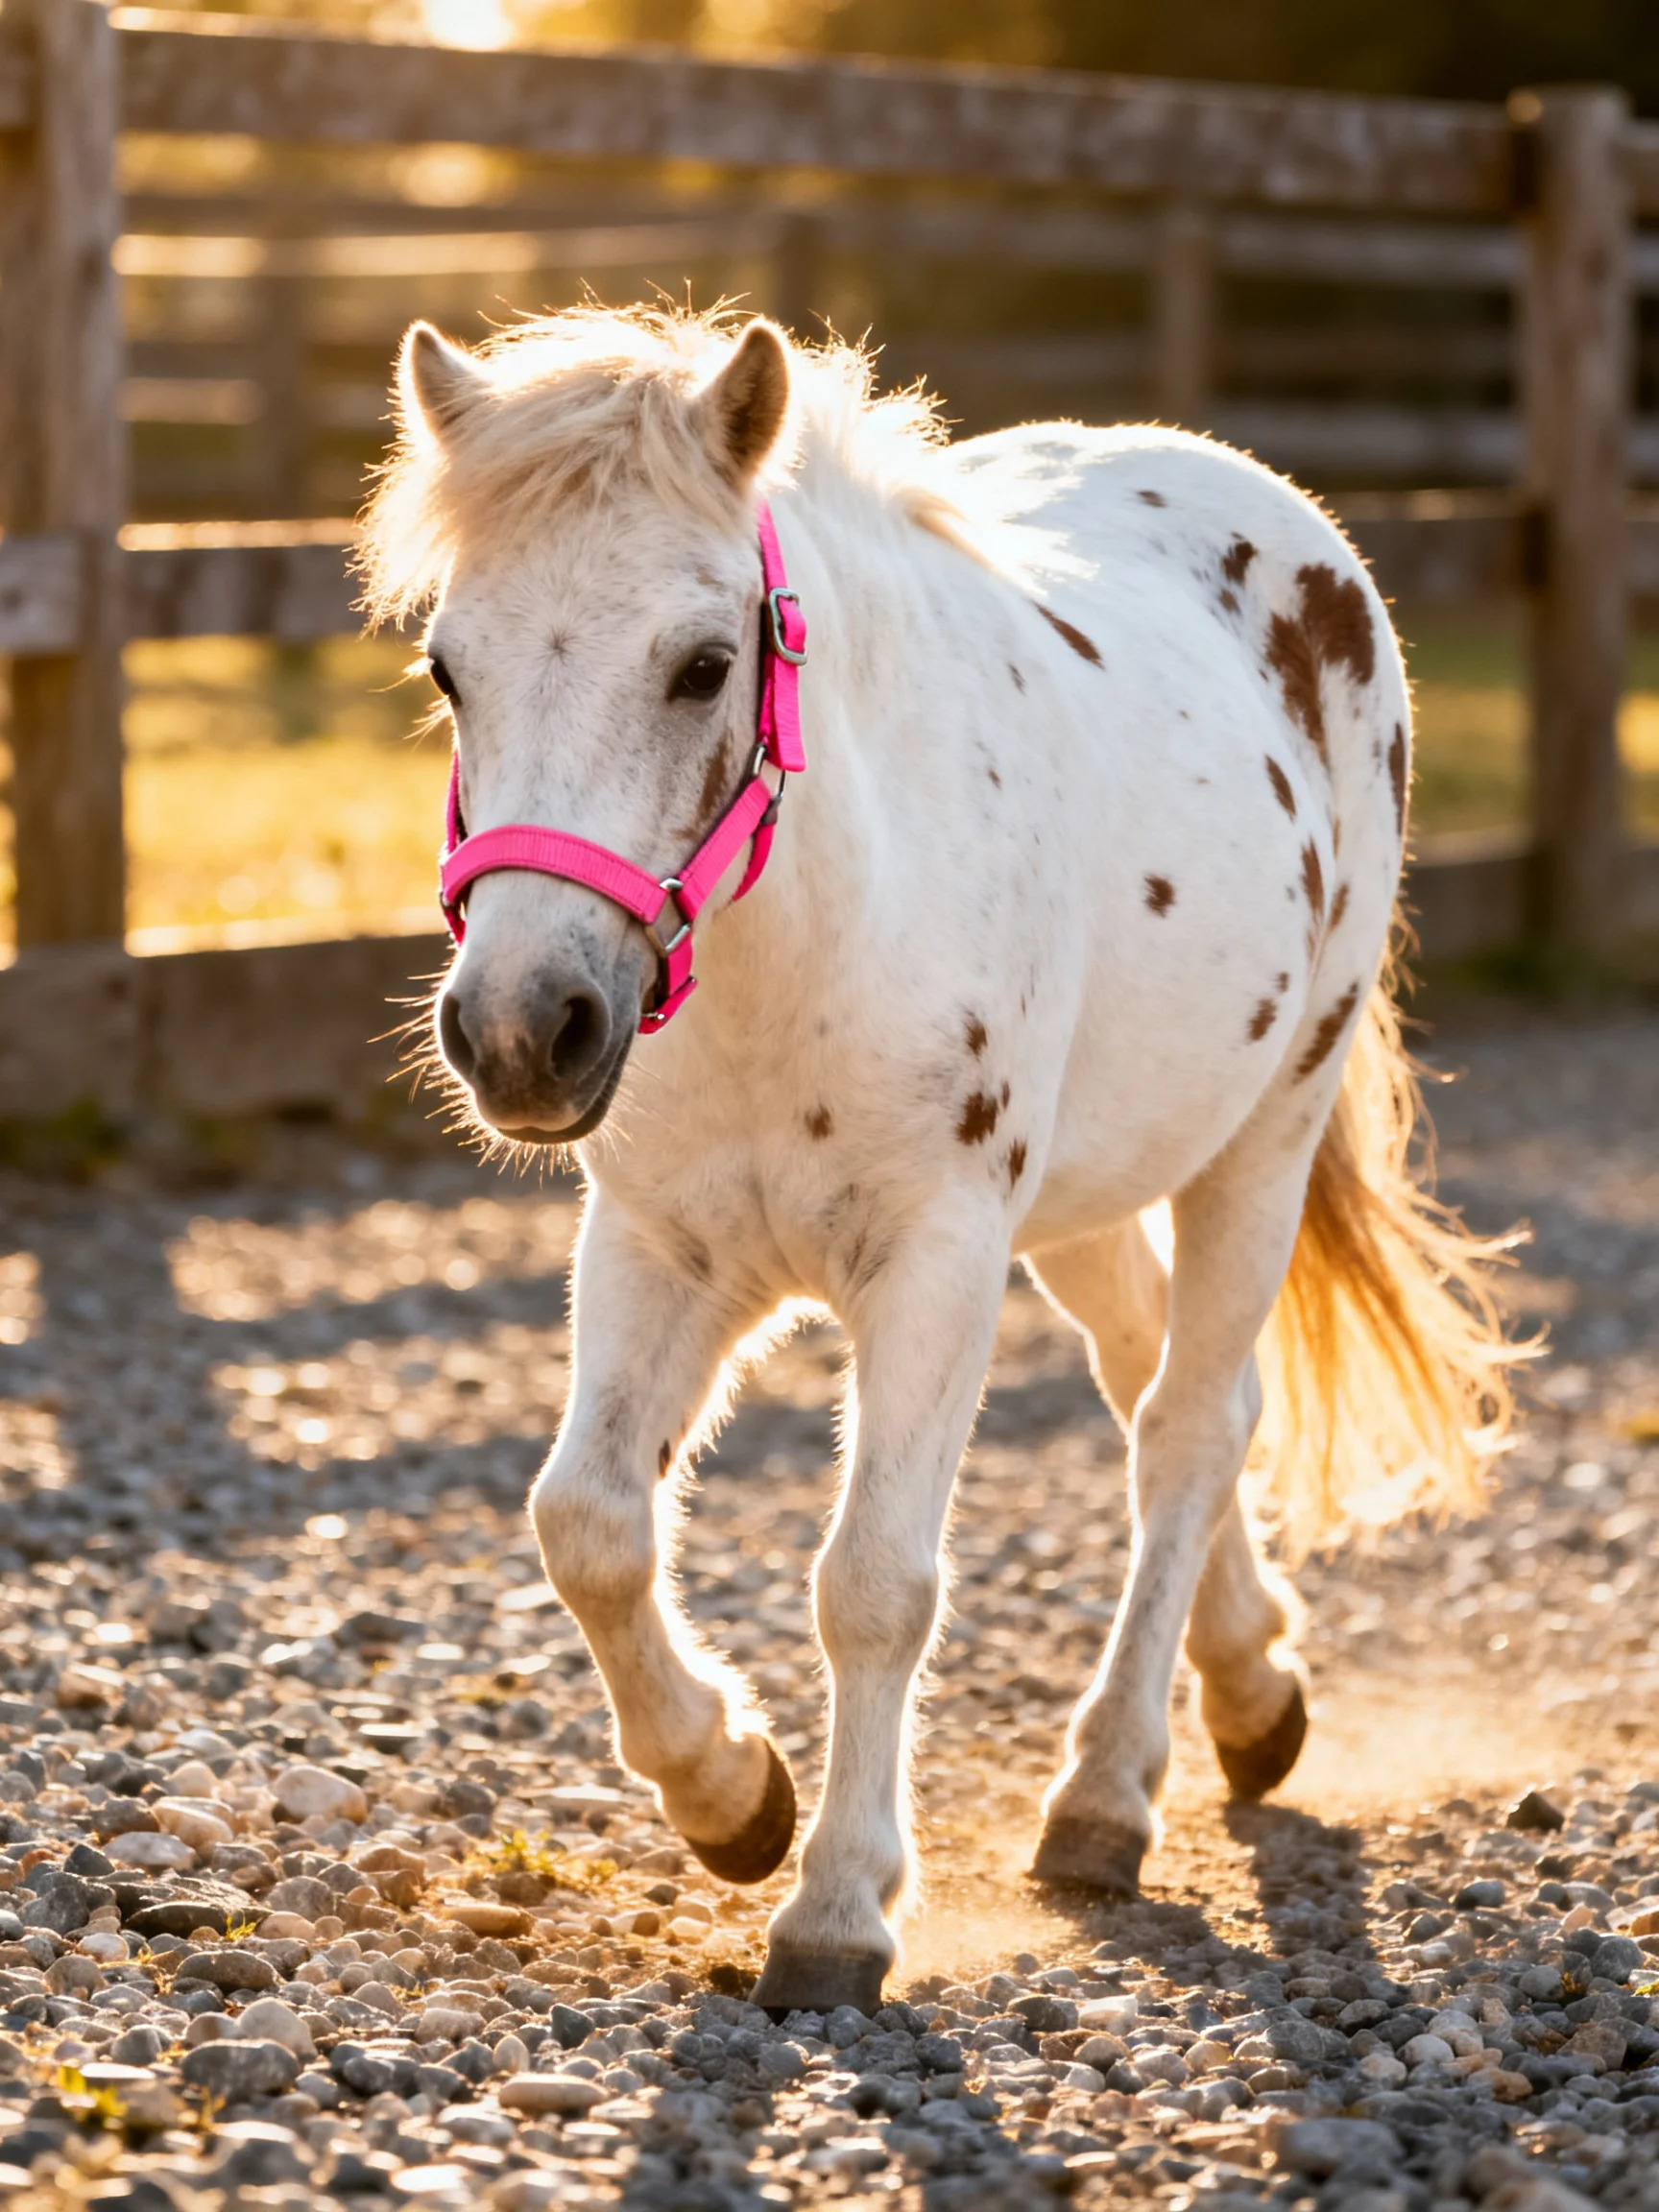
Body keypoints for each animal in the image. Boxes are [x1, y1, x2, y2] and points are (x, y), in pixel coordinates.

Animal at [359, 306, 1524, 2019]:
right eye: (450, 666)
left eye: (703, 664)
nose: (522, 1031)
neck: (810, 944)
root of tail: (1291, 527)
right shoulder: (655, 1249)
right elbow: (589, 1530)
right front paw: (732, 1797)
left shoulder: (934, 1261)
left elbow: (875, 1582)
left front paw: (839, 1908)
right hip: (1087, 1194)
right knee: (1154, 1378)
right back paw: (1251, 1692)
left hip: (1265, 1129)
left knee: (1190, 1426)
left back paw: (1106, 1799)